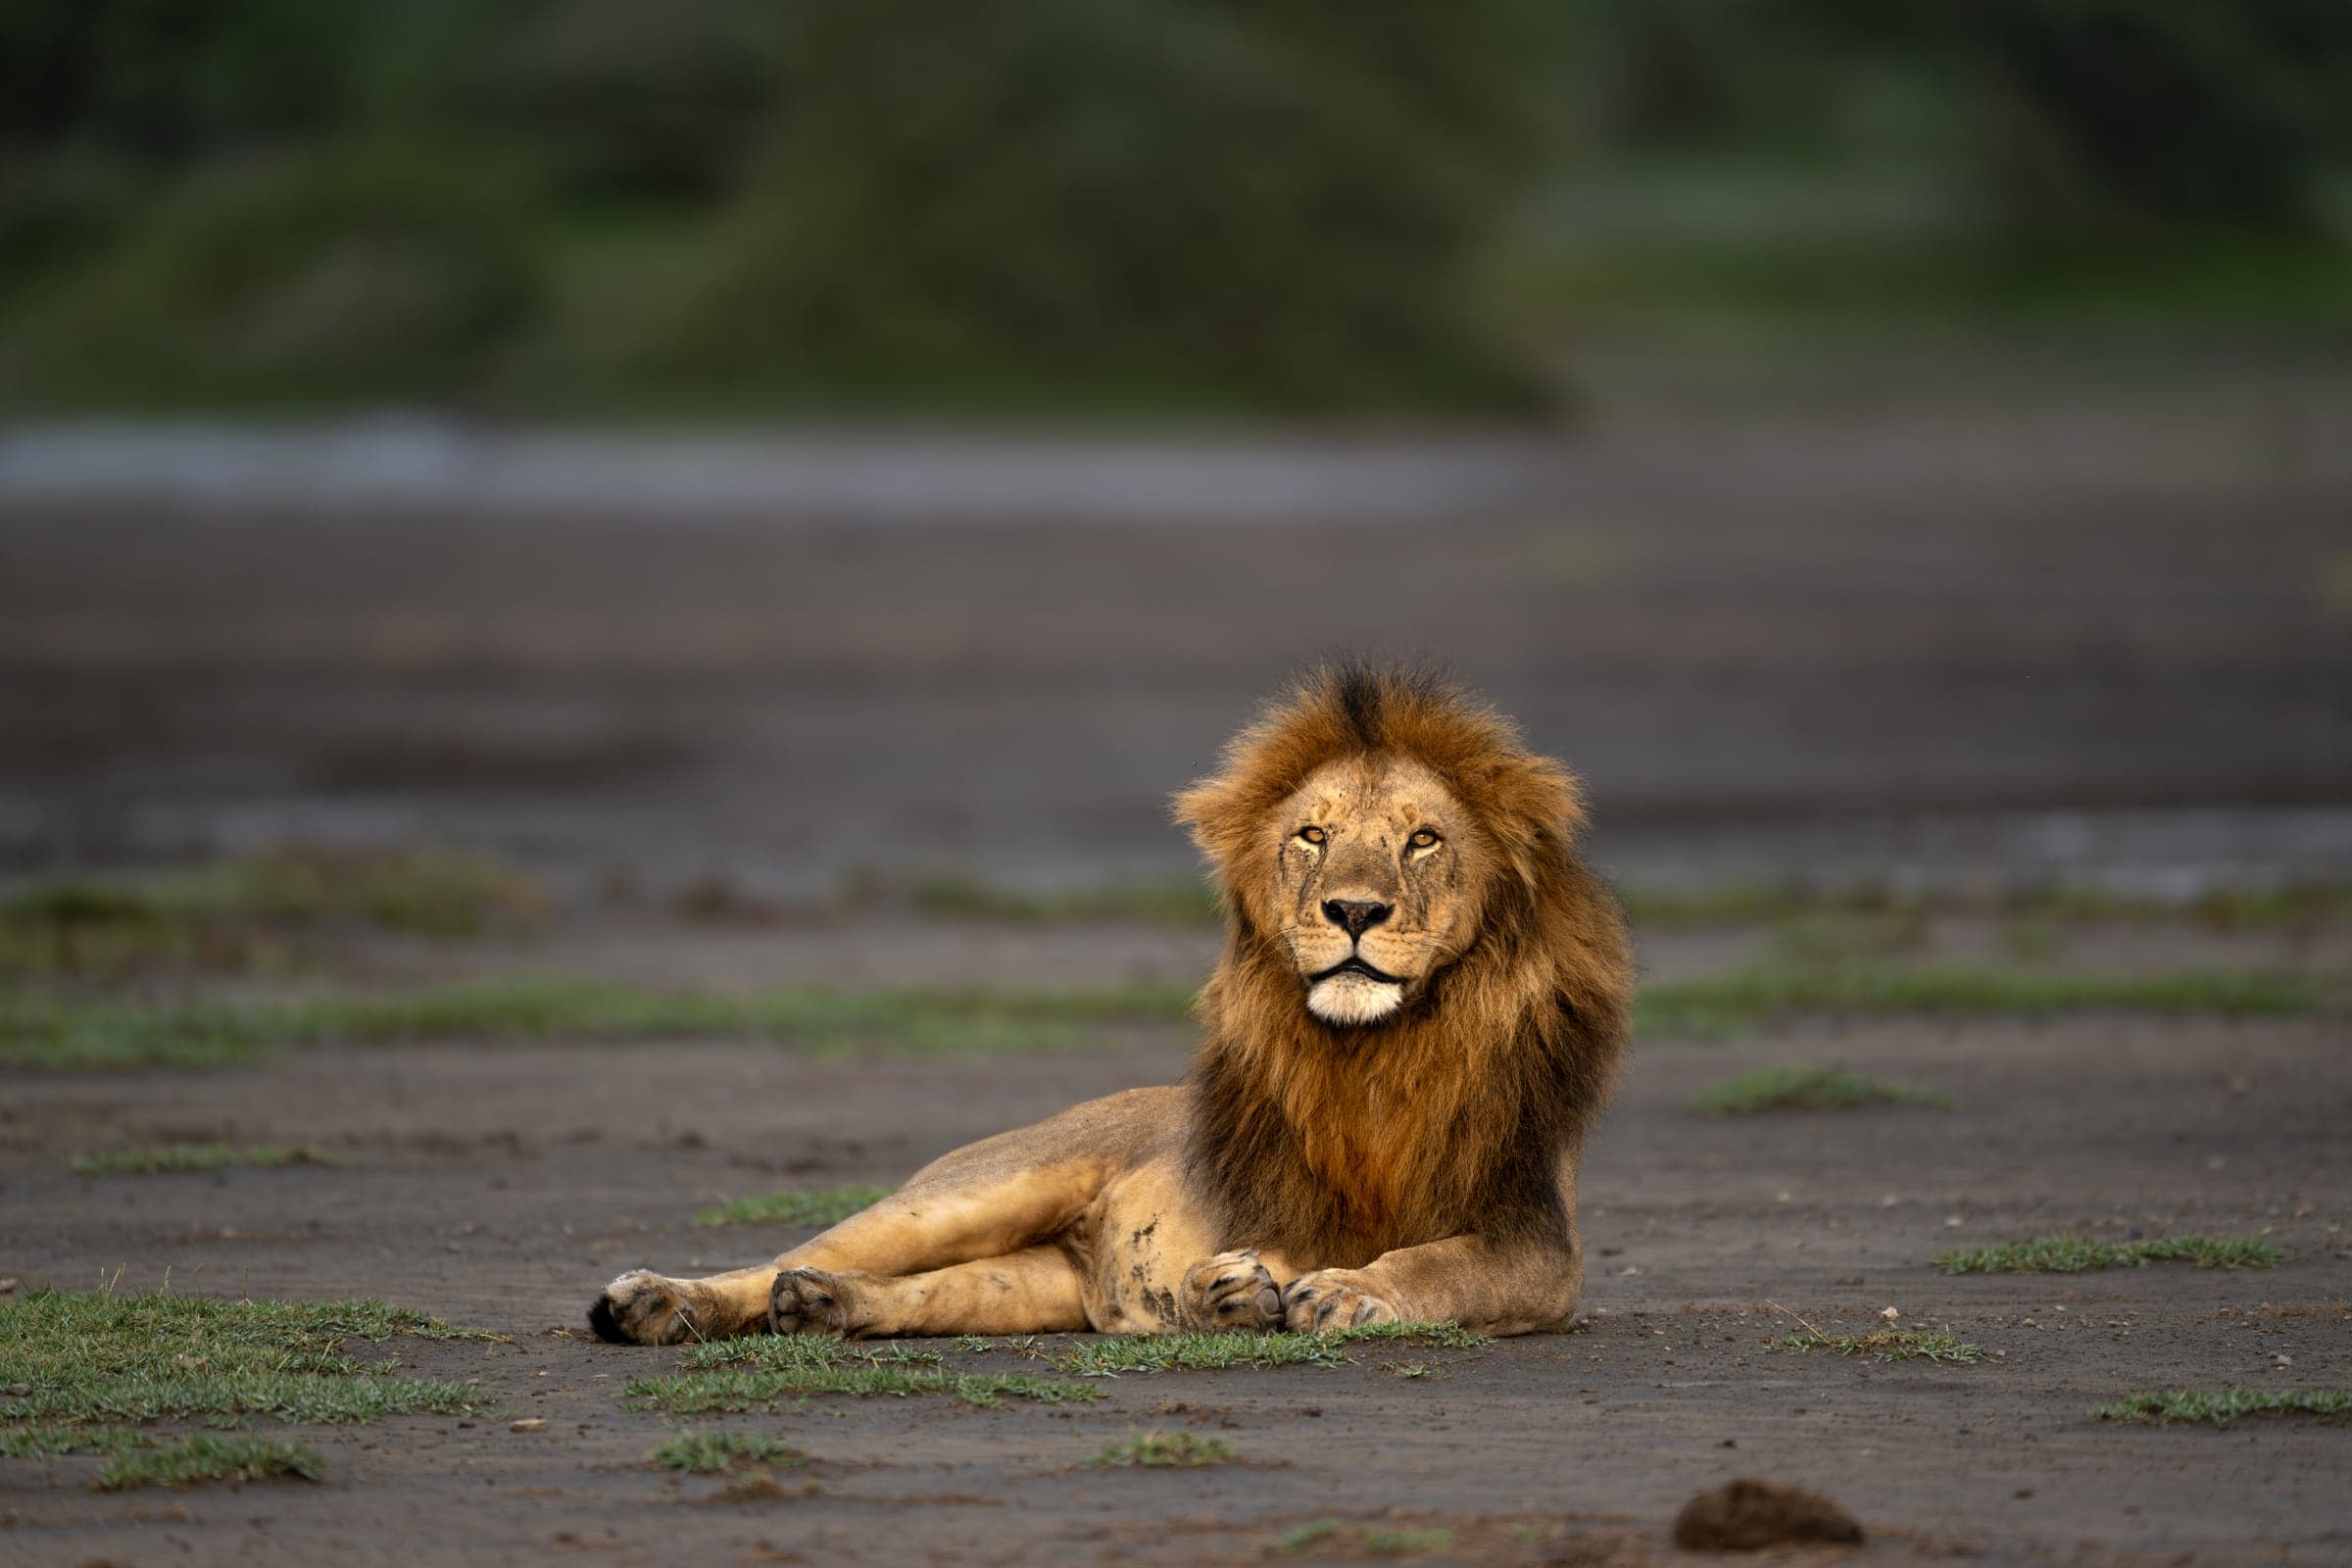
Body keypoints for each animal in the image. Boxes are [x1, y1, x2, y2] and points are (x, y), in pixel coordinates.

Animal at [589, 661, 1632, 1343]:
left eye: (1422, 840)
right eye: (1313, 836)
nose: (1353, 910)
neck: (1379, 1051)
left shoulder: (1534, 1230)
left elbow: (1442, 1262)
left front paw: (1334, 1292)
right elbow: (1318, 1256)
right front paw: (1252, 1288)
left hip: (1023, 1286)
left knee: (919, 1292)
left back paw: (821, 1306)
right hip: (974, 1190)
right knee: (790, 1255)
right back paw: (659, 1302)